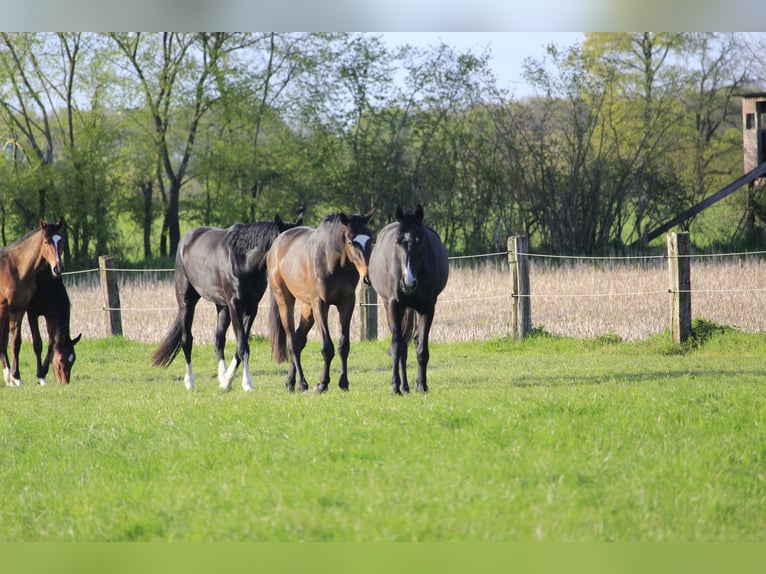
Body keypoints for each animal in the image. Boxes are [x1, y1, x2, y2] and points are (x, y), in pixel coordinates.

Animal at [0, 218, 65, 390]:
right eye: (46, 241)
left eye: (61, 241)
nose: (58, 268)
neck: (16, 268)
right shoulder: (3, 308)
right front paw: (10, 376)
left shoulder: (19, 309)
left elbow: (15, 342)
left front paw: (16, 377)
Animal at [151, 214, 304, 394]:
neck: (243, 260)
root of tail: (186, 240)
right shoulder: (234, 305)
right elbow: (243, 346)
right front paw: (247, 383)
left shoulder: (251, 308)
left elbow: (240, 345)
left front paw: (228, 380)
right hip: (187, 303)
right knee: (187, 340)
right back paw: (190, 382)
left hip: (222, 308)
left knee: (218, 340)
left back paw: (222, 377)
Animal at [268, 212, 376, 396]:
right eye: (350, 242)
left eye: (369, 240)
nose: (367, 278)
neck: (333, 261)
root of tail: (278, 243)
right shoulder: (321, 304)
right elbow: (327, 347)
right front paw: (322, 384)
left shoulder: (347, 303)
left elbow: (343, 345)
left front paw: (343, 383)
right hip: (285, 301)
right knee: (292, 343)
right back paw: (302, 384)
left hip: (307, 309)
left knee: (299, 339)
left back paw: (290, 382)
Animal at [368, 206, 448, 396]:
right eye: (398, 241)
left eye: (420, 241)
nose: (408, 283)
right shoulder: (394, 304)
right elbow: (397, 346)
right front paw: (395, 386)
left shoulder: (428, 307)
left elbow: (422, 348)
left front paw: (421, 385)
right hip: (389, 305)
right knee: (402, 346)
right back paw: (403, 386)